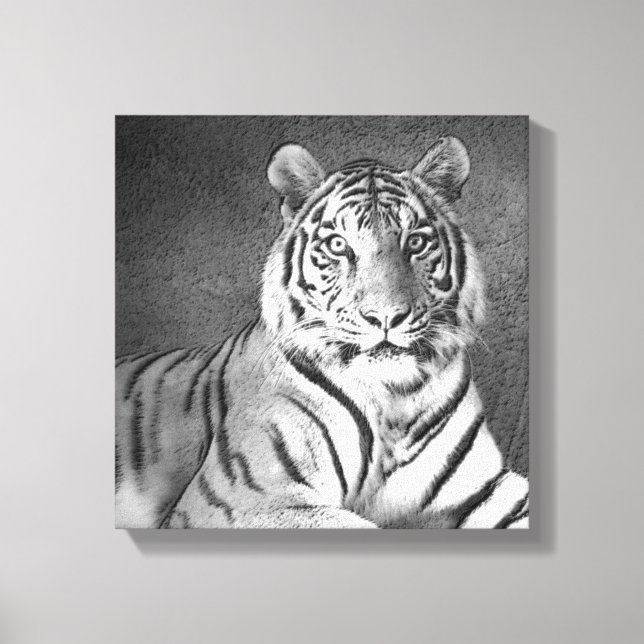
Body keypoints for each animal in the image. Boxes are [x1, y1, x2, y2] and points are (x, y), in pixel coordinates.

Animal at [115, 135, 529, 529]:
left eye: (415, 242)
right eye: (338, 245)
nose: (386, 317)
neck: (392, 403)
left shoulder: (485, 486)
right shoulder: (242, 500)